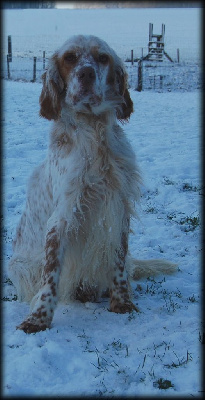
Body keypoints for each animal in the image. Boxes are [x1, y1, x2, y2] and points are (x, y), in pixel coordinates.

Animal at [8, 35, 176, 334]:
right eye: (70, 58)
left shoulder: (118, 209)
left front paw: (122, 303)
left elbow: (118, 262)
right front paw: (38, 319)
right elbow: (50, 275)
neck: (93, 130)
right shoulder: (63, 216)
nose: (86, 73)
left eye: (102, 58)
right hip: (18, 266)